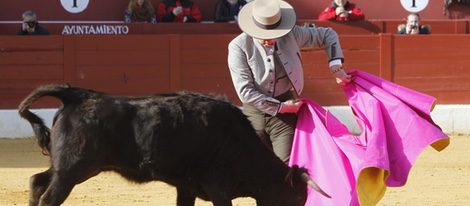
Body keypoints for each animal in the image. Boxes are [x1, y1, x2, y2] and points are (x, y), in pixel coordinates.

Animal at [17, 84, 326, 206]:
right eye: (297, 198)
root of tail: (76, 95)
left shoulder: (187, 187)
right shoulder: (218, 188)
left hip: (67, 167)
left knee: (37, 181)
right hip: (73, 170)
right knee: (48, 196)